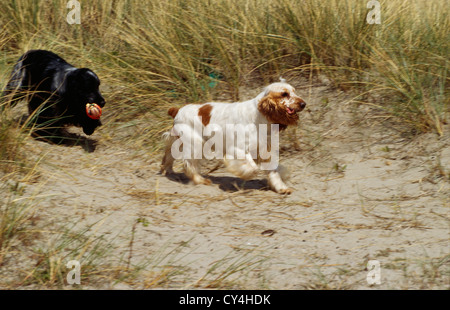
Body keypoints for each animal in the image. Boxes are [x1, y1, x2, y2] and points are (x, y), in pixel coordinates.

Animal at [161, 81, 306, 195]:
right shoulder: (238, 149)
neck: (259, 116)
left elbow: (273, 171)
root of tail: (177, 110)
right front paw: (246, 174)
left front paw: (281, 188)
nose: (303, 104)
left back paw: (168, 171)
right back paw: (200, 180)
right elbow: (253, 167)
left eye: (294, 91)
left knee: (168, 156)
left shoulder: (265, 149)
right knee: (189, 164)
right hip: (195, 144)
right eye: (284, 94)